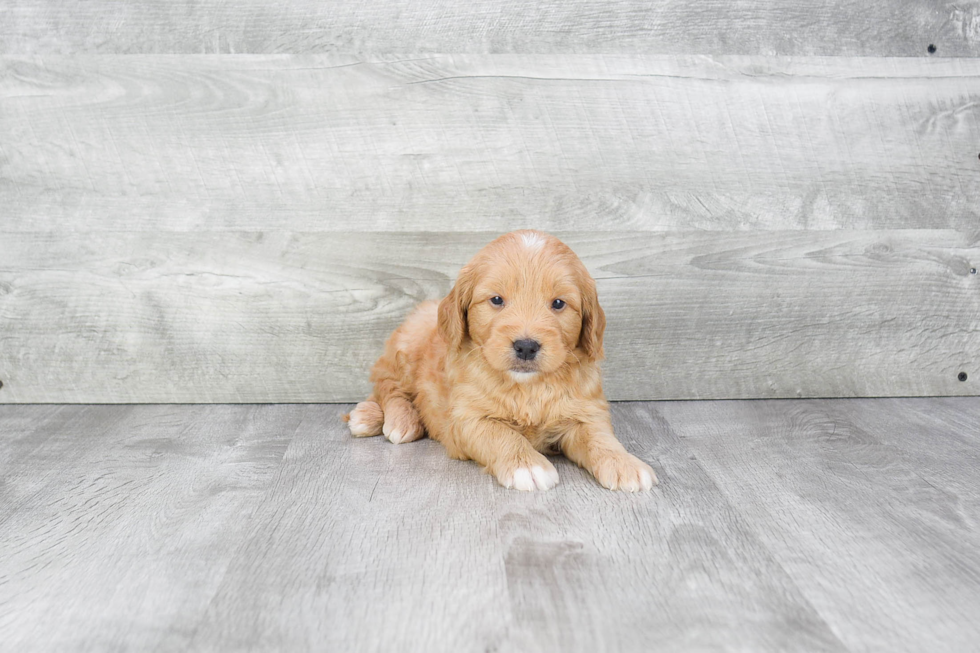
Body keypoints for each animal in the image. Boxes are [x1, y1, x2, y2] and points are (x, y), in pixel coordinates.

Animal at [344, 229, 660, 488]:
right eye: (496, 300)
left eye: (559, 303)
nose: (526, 346)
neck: (527, 387)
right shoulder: (467, 418)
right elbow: (500, 434)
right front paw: (527, 465)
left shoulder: (586, 411)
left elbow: (600, 437)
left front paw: (625, 463)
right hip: (407, 348)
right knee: (388, 386)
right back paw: (388, 419)